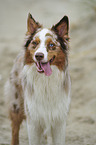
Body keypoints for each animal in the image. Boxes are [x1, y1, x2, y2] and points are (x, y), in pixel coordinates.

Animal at [4, 13, 70, 145]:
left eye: (51, 45)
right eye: (34, 43)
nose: (38, 56)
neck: (46, 82)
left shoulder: (59, 121)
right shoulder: (33, 120)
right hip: (16, 105)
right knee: (14, 130)